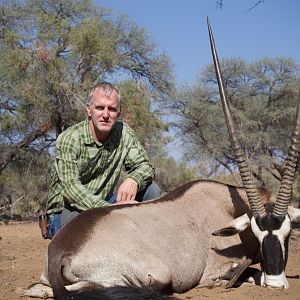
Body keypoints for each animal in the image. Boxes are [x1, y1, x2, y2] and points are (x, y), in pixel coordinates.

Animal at [24, 19, 300, 298]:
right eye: (257, 233)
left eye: (287, 233)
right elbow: (247, 273)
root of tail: (60, 248)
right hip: (149, 276)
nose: (276, 283)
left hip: (47, 280)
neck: (228, 205)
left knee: (37, 289)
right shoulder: (215, 271)